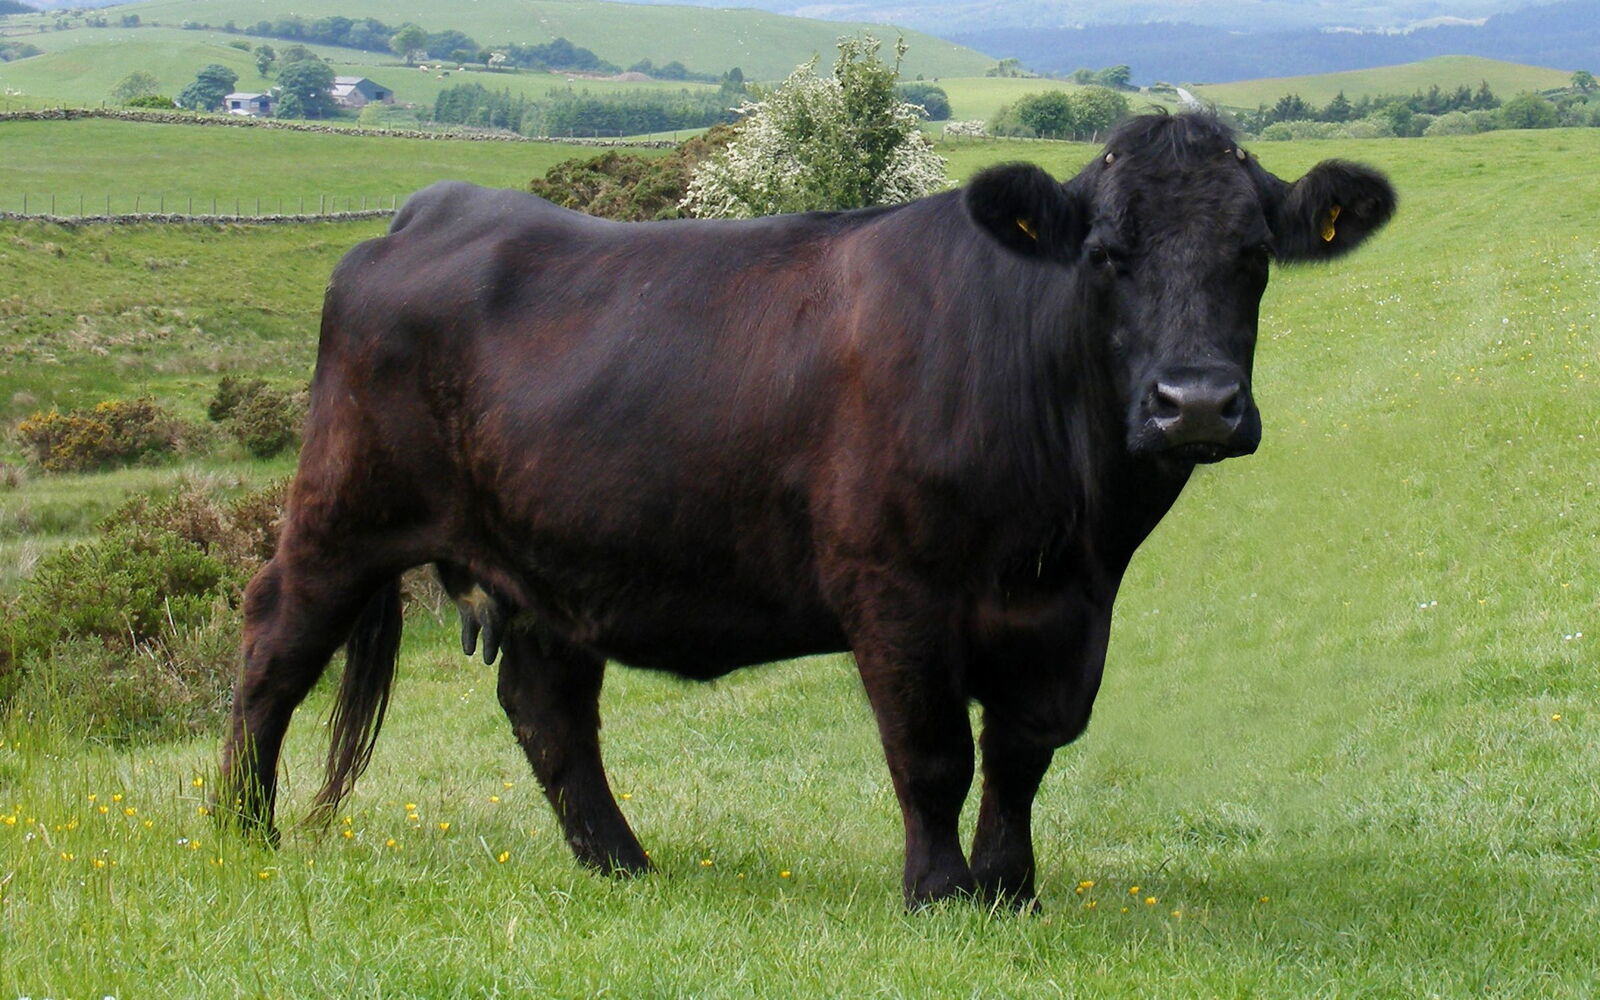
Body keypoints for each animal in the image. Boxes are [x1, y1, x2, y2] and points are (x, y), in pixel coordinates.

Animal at [218, 112, 1395, 907]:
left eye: (1254, 256)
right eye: (1105, 255)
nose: (1193, 403)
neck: (1068, 524)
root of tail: (439, 205)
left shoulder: (1068, 618)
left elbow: (1022, 754)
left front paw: (1011, 889)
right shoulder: (895, 591)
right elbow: (932, 752)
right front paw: (940, 893)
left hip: (553, 558)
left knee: (547, 707)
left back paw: (625, 866)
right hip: (341, 515)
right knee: (275, 647)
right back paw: (239, 828)